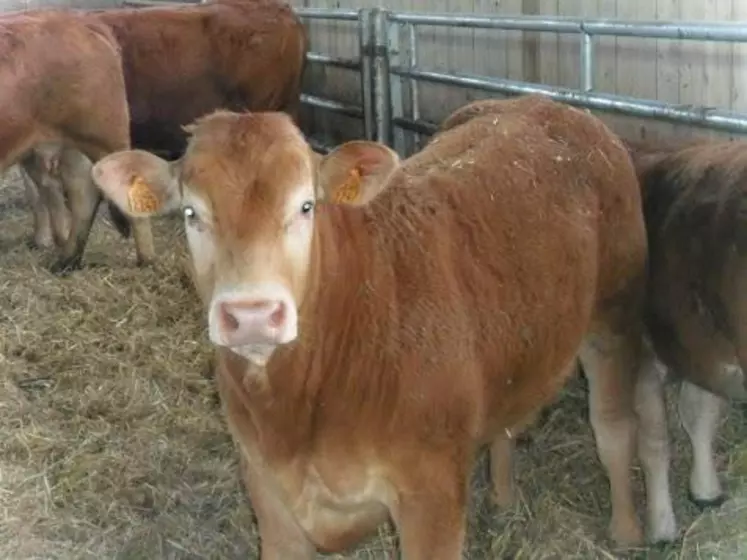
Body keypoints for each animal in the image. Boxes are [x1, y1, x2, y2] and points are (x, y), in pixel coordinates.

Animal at [90, 96, 676, 556]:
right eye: (191, 214)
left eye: (306, 206)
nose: (252, 314)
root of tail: (552, 107)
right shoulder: (267, 493)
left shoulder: (431, 494)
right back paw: (504, 496)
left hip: (614, 317)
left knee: (613, 428)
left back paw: (626, 529)